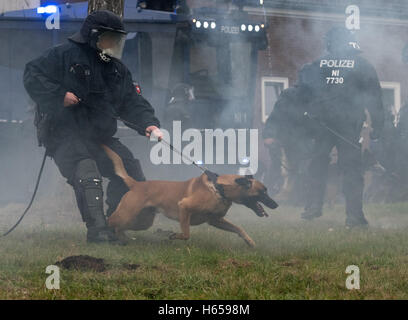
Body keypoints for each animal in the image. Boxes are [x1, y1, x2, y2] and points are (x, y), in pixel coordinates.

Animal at [103, 145, 278, 248]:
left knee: (120, 226)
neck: (219, 188)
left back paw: (122, 238)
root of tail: (136, 184)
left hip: (142, 221)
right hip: (127, 214)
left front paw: (249, 241)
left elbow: (238, 228)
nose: (276, 205)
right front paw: (174, 235)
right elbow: (186, 234)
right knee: (110, 221)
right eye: (263, 192)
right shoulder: (184, 207)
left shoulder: (216, 220)